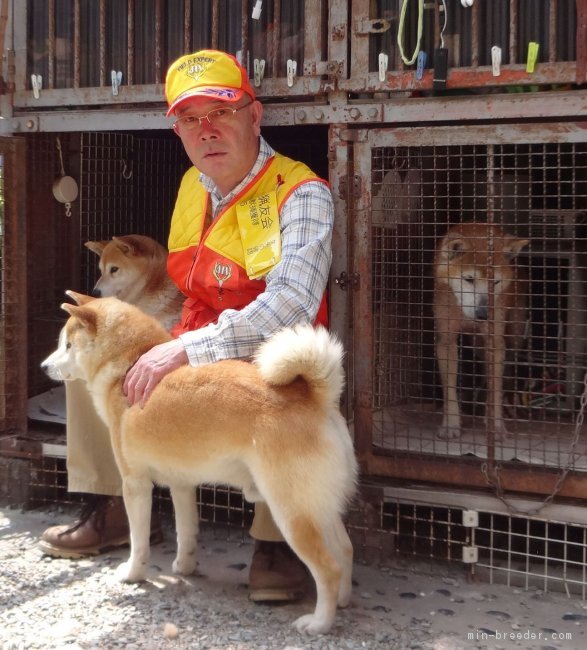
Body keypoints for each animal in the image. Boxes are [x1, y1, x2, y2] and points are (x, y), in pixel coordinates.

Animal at [434, 220, 532, 438]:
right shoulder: (446, 340)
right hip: (478, 346)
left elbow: (495, 389)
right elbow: (449, 389)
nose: (483, 315)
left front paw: (496, 426)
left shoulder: (495, 342)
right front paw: (451, 424)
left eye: (495, 282)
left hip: (512, 338)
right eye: (469, 279)